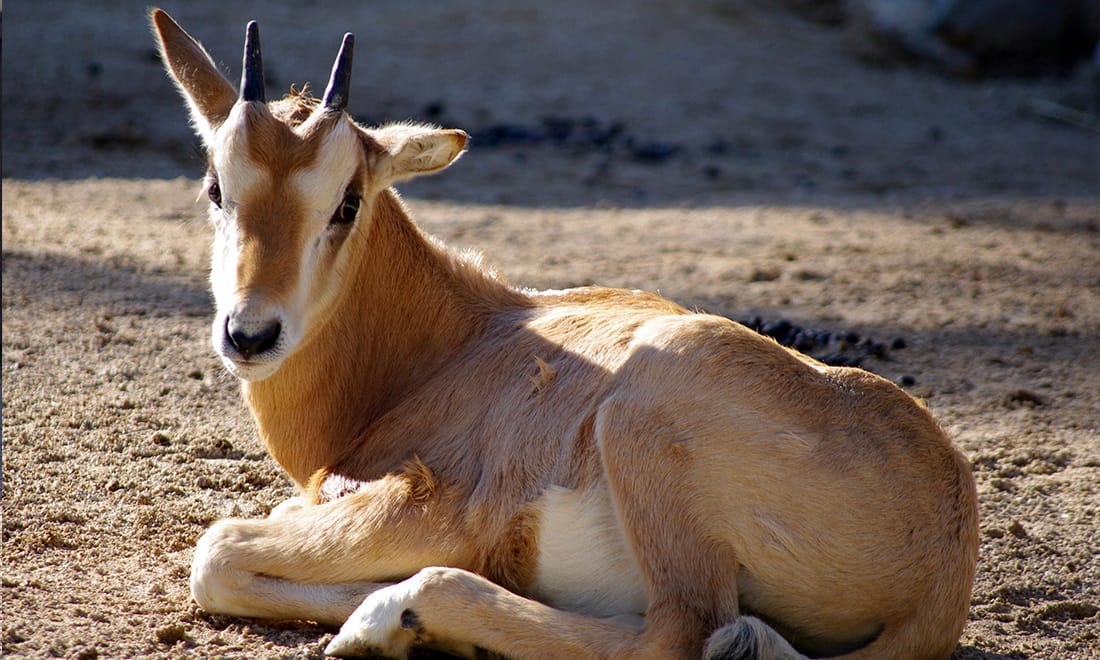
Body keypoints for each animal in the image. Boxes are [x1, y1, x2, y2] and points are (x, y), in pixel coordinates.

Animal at [148, 10, 981, 660]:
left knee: (678, 633)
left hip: (646, 427)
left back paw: (395, 616)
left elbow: (216, 551)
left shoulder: (436, 508)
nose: (250, 334)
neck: (458, 339)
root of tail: (948, 541)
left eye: (346, 202)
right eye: (217, 186)